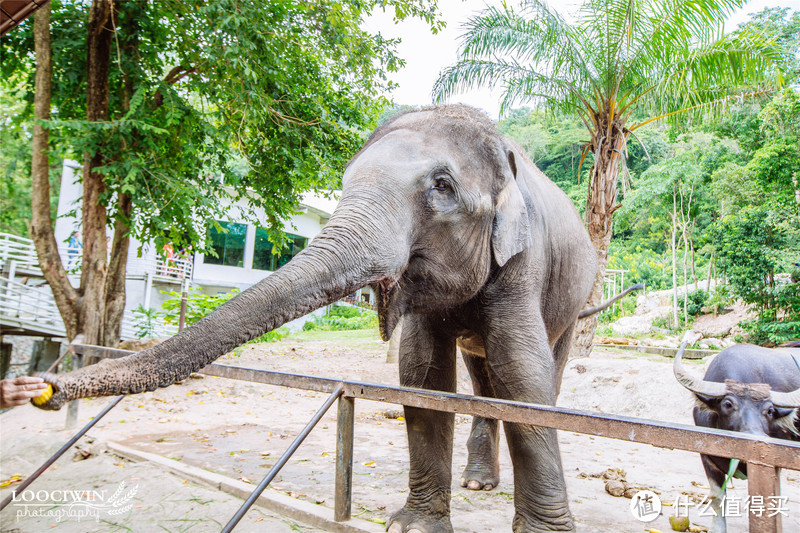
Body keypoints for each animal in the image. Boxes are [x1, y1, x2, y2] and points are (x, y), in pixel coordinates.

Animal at [37, 106, 600, 528]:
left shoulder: (525, 262)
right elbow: (422, 375)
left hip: (576, 295)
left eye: (442, 185)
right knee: (483, 376)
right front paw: (415, 526)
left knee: (538, 369)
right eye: (346, 181)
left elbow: (523, 377)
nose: (46, 388)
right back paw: (478, 482)